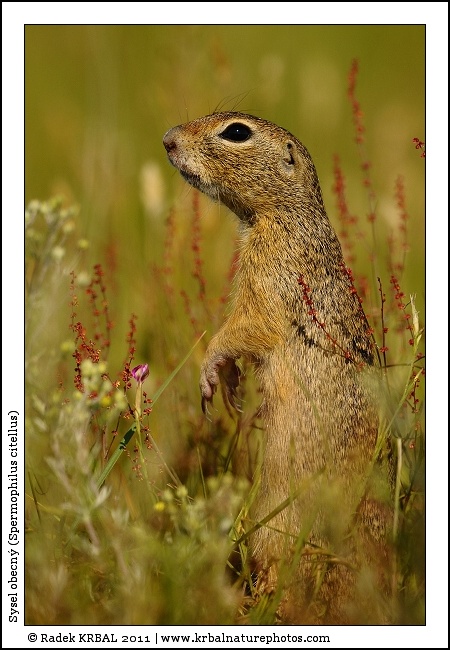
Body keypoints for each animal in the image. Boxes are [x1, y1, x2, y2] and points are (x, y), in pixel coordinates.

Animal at [163, 112, 393, 624]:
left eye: (236, 132)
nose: (167, 140)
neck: (286, 214)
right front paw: (230, 383)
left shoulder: (271, 274)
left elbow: (248, 325)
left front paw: (211, 372)